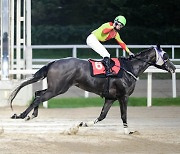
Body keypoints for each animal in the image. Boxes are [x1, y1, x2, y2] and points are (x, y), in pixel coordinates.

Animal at [8, 44, 176, 134]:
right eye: (166, 56)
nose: (174, 68)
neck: (129, 68)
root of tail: (54, 62)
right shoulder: (124, 96)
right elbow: (124, 115)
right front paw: (128, 131)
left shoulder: (111, 98)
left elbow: (102, 116)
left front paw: (84, 124)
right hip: (58, 88)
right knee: (39, 97)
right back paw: (22, 115)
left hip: (55, 88)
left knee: (38, 94)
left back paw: (31, 115)